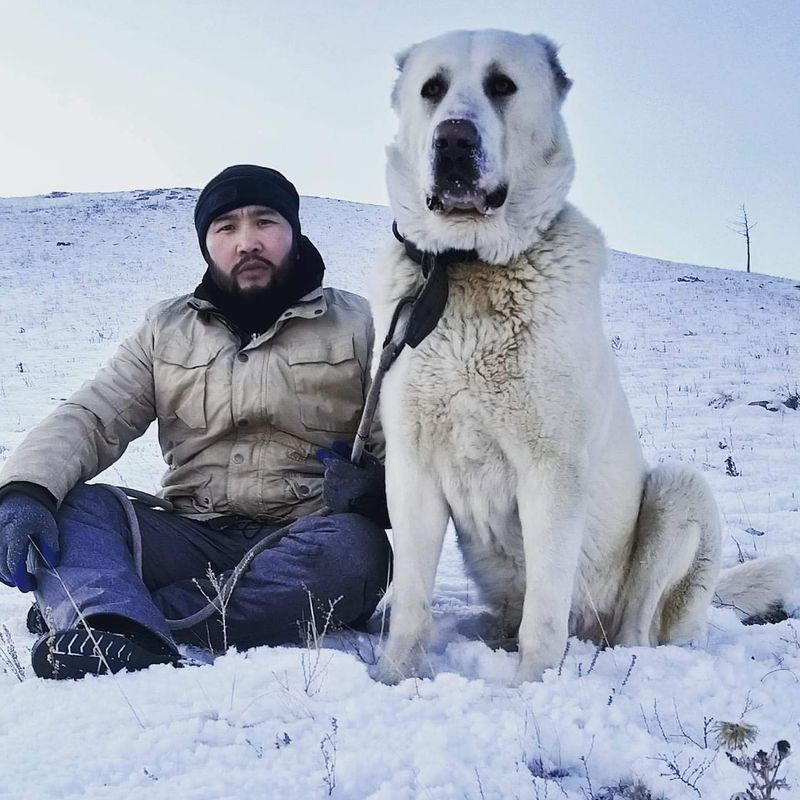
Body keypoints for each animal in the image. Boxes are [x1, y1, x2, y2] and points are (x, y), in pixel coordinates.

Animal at [372, 28, 796, 684]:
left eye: (502, 85)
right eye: (432, 89)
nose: (453, 139)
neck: (468, 268)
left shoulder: (552, 472)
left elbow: (545, 612)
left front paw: (532, 689)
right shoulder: (413, 469)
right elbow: (412, 599)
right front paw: (396, 677)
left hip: (678, 493)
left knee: (635, 628)